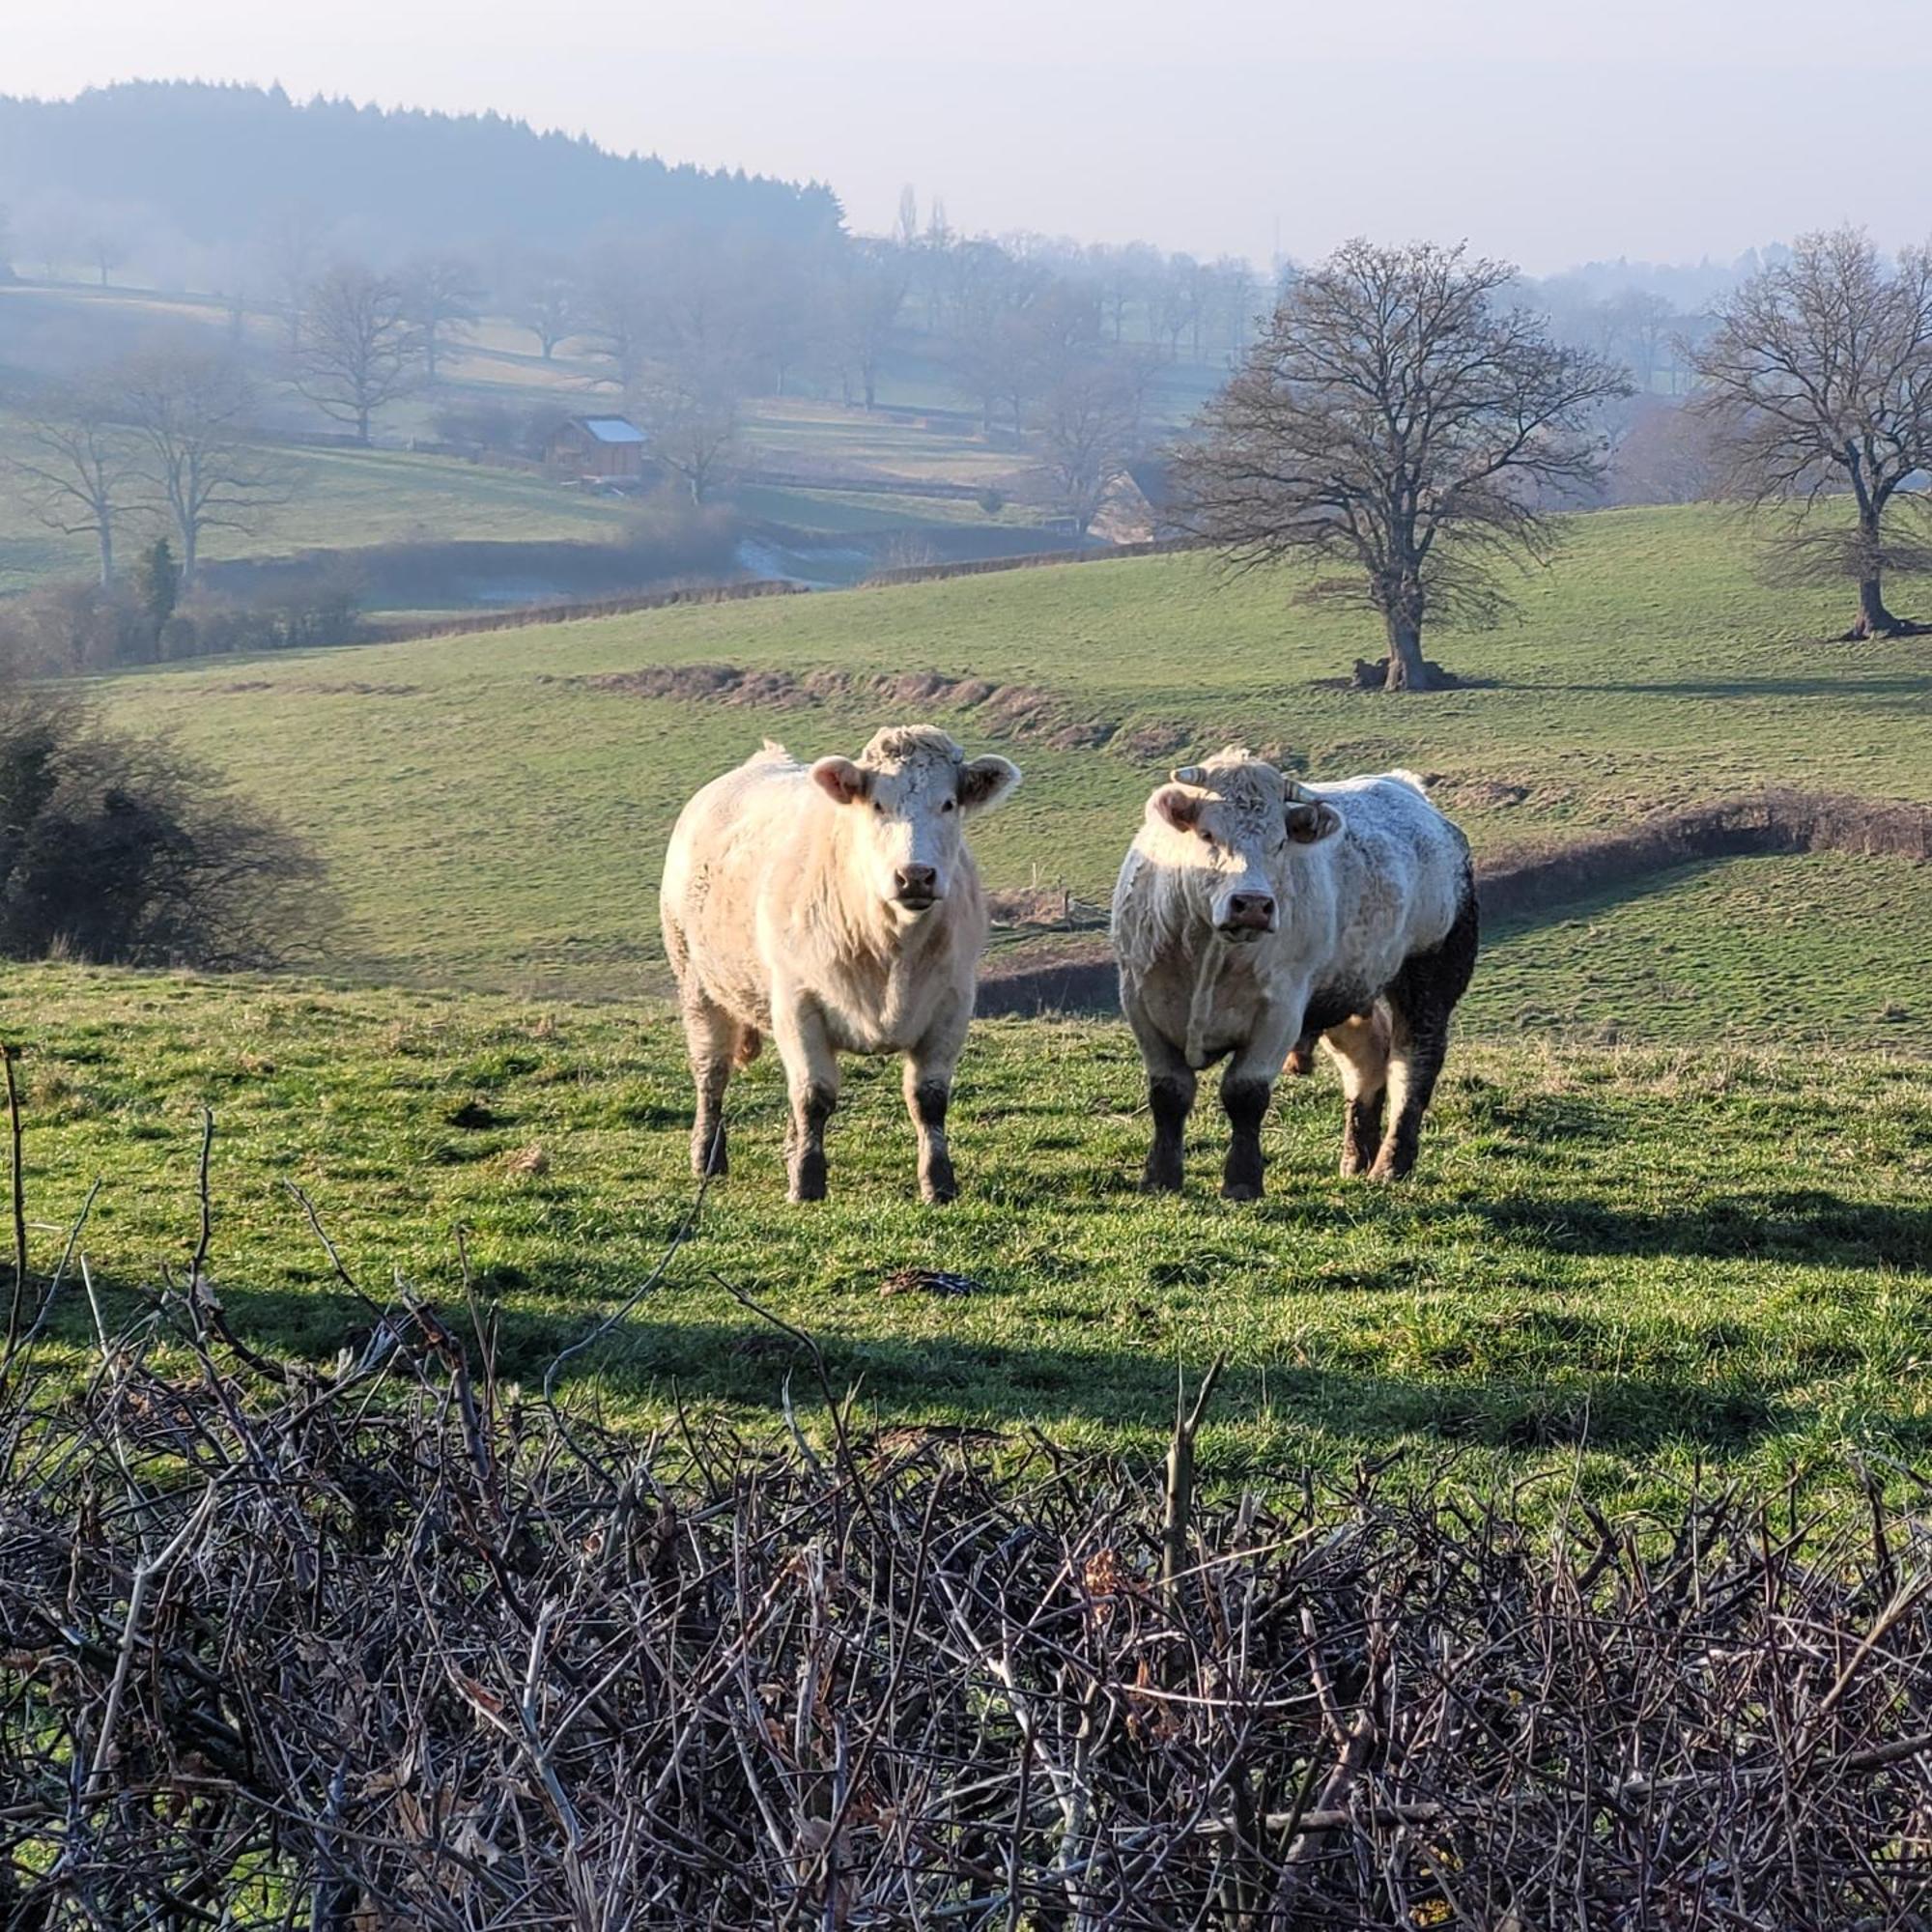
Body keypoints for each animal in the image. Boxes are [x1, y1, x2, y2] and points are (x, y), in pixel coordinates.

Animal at [665, 726, 1020, 1198]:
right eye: (877, 804)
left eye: (948, 803)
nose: (915, 875)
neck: (892, 951)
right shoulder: (798, 1003)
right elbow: (813, 1096)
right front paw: (807, 1181)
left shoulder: (952, 1004)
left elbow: (928, 1099)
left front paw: (939, 1183)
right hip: (697, 984)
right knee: (712, 1074)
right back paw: (708, 1156)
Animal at [1113, 750, 1468, 1190]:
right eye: (1208, 835)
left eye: (1279, 843)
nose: (1252, 904)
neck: (1207, 955)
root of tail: (1405, 789)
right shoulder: (1141, 1004)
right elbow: (1169, 1094)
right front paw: (1160, 1178)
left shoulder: (1280, 1011)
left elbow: (1245, 1094)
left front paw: (1242, 1181)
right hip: (1346, 990)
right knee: (1365, 1061)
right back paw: (1356, 1160)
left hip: (1430, 973)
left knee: (1413, 1063)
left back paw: (1390, 1164)